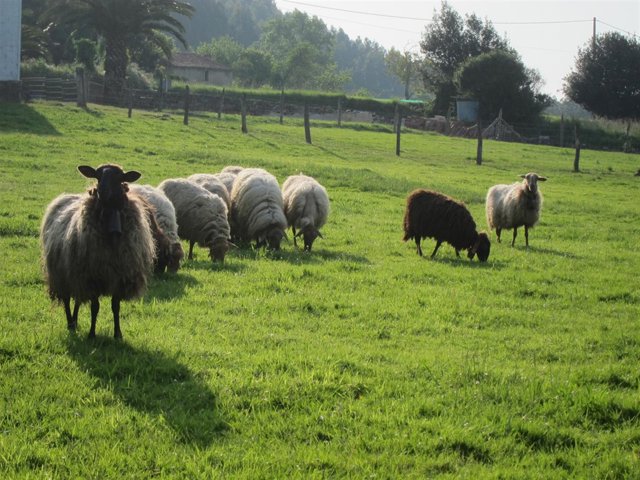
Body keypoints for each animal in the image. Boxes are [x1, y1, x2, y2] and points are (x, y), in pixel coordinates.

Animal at [40, 164, 156, 339]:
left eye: (120, 178)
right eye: (98, 176)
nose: (104, 193)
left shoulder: (119, 277)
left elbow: (115, 307)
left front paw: (118, 334)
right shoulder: (92, 277)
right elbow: (95, 307)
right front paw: (92, 334)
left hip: (76, 277)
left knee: (78, 298)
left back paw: (75, 321)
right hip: (63, 275)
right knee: (67, 299)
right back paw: (70, 323)